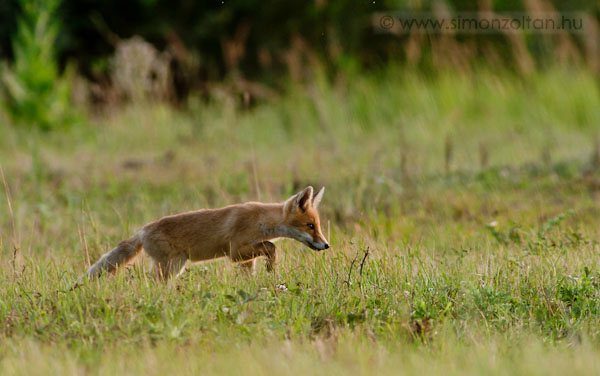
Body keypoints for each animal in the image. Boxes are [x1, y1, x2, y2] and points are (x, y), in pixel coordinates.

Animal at [82, 187, 328, 280]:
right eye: (310, 226)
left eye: (317, 226)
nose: (326, 245)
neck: (261, 220)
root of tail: (143, 230)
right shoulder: (235, 251)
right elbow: (272, 246)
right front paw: (271, 267)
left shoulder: (244, 258)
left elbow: (253, 269)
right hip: (170, 267)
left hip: (174, 266)